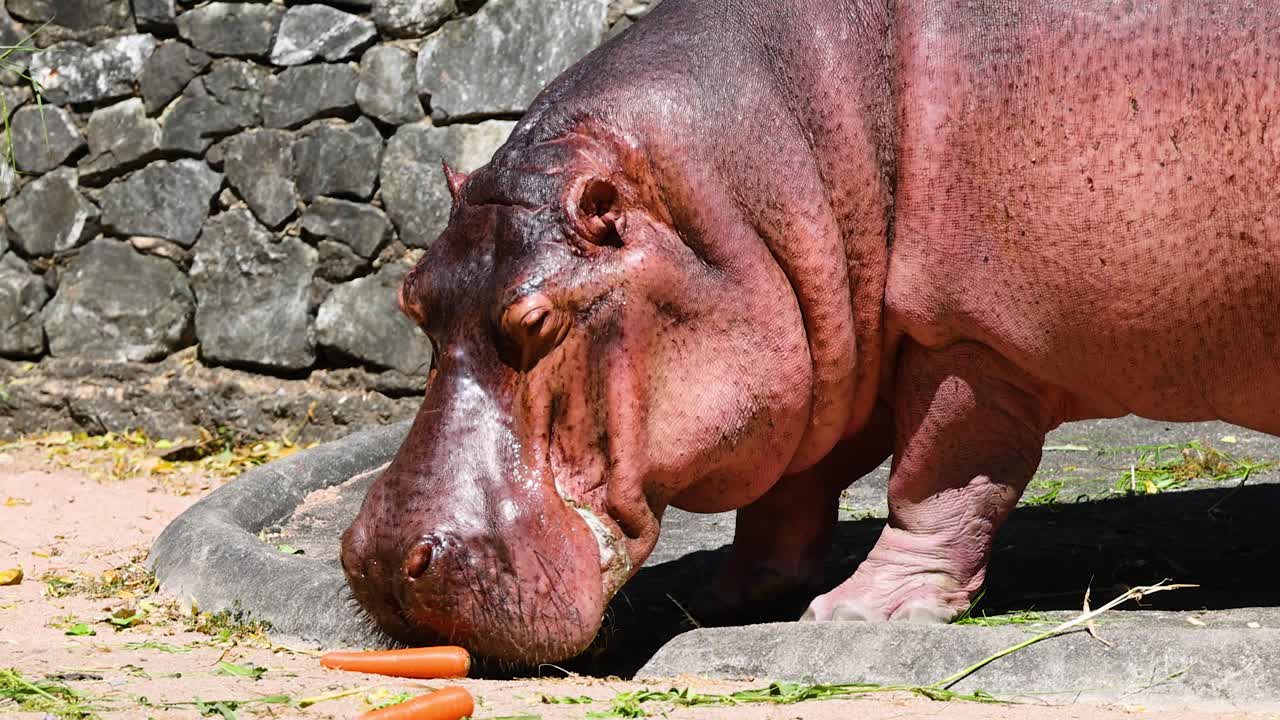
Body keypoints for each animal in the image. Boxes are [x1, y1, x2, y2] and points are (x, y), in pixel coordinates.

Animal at [340, 0, 1280, 663]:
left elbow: (936, 479)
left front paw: (857, 613)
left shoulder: (966, 339)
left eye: (536, 321)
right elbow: (787, 491)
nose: (383, 563)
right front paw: (723, 597)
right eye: (412, 300)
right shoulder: (828, 353)